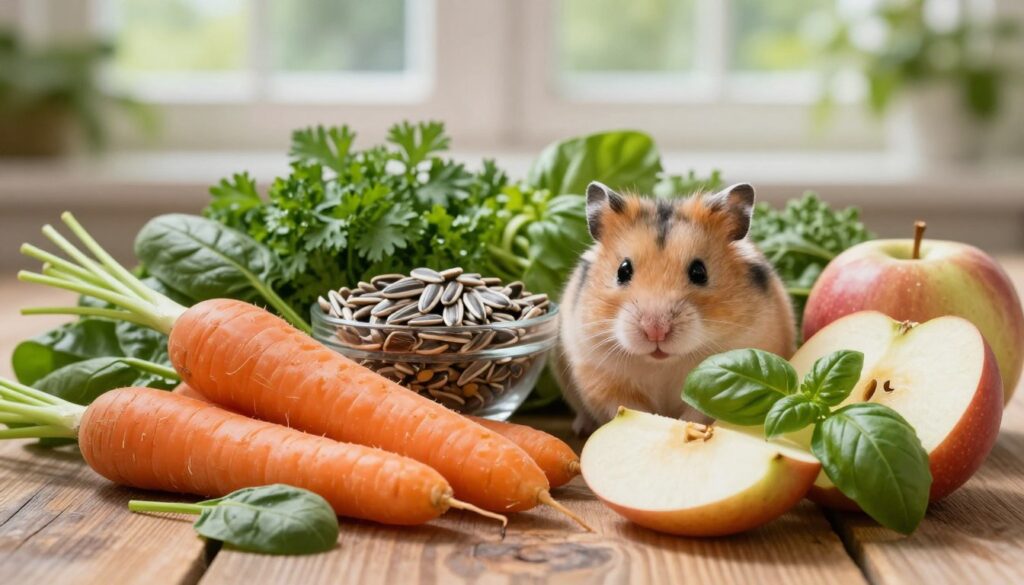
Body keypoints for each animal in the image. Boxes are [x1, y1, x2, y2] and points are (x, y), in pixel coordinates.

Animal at [555, 181, 796, 435]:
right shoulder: (600, 376)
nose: (655, 331)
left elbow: (698, 412)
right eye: (623, 270)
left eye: (699, 272)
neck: (663, 363)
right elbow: (626, 407)